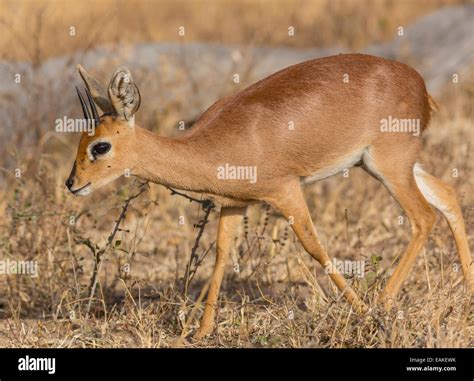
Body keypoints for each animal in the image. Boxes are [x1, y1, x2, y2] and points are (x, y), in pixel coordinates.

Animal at [65, 54, 470, 338]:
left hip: (389, 166)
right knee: (448, 195)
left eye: (100, 146)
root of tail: (420, 85)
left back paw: (382, 304)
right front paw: (201, 331)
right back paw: (466, 294)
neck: (213, 145)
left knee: (423, 217)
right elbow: (221, 256)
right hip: (385, 166)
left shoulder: (286, 191)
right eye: (82, 141)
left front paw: (362, 313)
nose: (71, 183)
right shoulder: (233, 205)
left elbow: (314, 246)